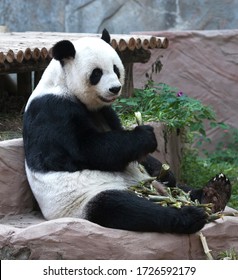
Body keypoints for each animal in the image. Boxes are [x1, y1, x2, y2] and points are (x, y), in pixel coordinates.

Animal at [21, 29, 225, 234]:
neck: (63, 84)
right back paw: (190, 215)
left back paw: (214, 192)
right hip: (84, 199)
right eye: (96, 73)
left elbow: (131, 152)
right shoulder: (52, 110)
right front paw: (145, 136)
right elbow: (84, 151)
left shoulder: (105, 112)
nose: (115, 88)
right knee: (123, 207)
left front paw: (163, 170)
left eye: (116, 69)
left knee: (180, 188)